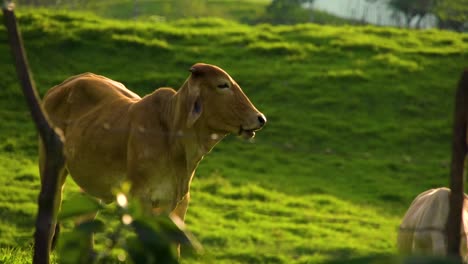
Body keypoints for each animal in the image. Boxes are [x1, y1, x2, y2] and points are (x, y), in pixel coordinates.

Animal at [39, 63, 266, 253]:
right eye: (222, 85)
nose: (260, 118)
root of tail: (61, 87)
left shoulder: (178, 203)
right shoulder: (142, 201)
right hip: (50, 165)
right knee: (49, 221)